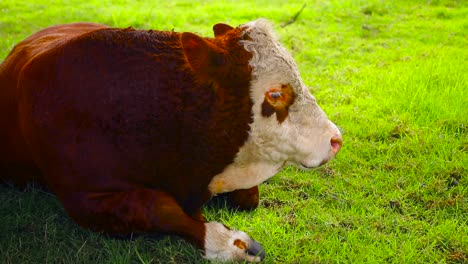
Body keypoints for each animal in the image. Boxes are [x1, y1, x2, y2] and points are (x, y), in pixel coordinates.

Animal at [0, 19, 344, 262]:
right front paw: (230, 244)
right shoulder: (82, 197)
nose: (335, 139)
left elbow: (248, 197)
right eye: (274, 94)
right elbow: (158, 207)